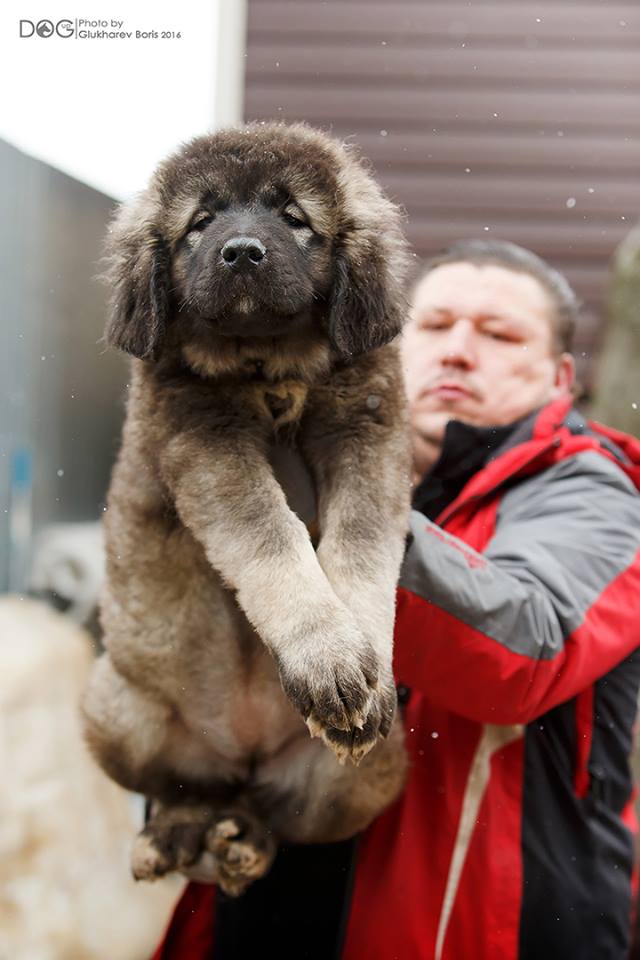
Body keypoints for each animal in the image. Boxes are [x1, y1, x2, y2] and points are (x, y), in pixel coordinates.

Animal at [81, 124, 410, 896]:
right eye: (200, 224)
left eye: (293, 217)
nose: (241, 252)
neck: (271, 364)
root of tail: (244, 755)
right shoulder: (207, 445)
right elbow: (273, 543)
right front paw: (326, 655)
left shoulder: (369, 438)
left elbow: (362, 551)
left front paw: (357, 663)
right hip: (115, 705)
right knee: (184, 789)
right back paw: (173, 833)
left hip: (375, 767)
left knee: (273, 812)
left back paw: (245, 843)